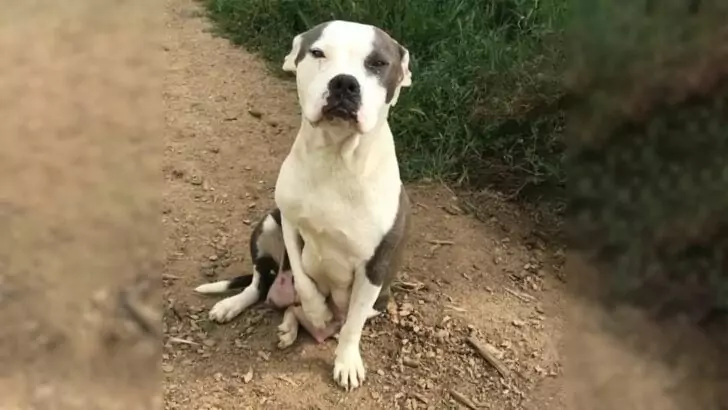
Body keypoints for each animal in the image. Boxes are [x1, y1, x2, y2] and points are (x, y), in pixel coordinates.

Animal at [274, 20, 412, 390]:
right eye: (317, 52)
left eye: (378, 63)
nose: (344, 83)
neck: (336, 159)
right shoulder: (289, 224)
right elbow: (304, 281)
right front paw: (317, 310)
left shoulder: (374, 266)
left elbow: (354, 324)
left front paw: (347, 362)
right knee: (295, 305)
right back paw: (294, 325)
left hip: (381, 300)